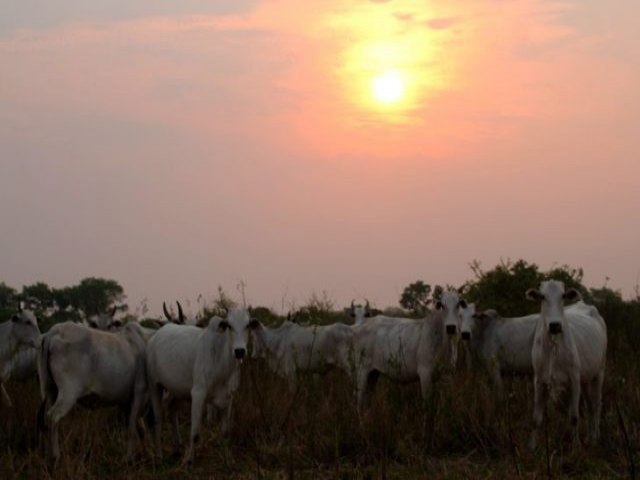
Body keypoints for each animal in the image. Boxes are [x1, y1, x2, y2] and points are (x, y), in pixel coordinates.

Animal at [37, 320, 148, 464]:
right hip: (68, 393)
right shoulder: (139, 393)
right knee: (53, 417)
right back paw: (55, 457)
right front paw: (129, 459)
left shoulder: (126, 402)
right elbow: (133, 429)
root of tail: (54, 332)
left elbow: (140, 429)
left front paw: (146, 455)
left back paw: (48, 456)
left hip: (50, 390)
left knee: (45, 419)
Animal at [147, 308, 260, 464]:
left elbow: (225, 432)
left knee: (172, 412)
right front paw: (190, 461)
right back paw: (159, 455)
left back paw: (177, 449)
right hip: (154, 385)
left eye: (248, 325)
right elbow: (195, 433)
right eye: (229, 326)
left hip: (177, 391)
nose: (239, 351)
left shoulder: (228, 398)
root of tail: (156, 334)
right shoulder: (198, 395)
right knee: (158, 419)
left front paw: (228, 460)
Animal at [524, 282, 608, 450]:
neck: (553, 345)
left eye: (563, 296)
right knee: (590, 405)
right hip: (586, 378)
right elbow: (536, 419)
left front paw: (575, 448)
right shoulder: (539, 380)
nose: (555, 325)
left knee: (596, 404)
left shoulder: (574, 380)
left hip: (599, 372)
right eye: (542, 296)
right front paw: (532, 447)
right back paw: (589, 437)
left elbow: (574, 417)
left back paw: (595, 437)